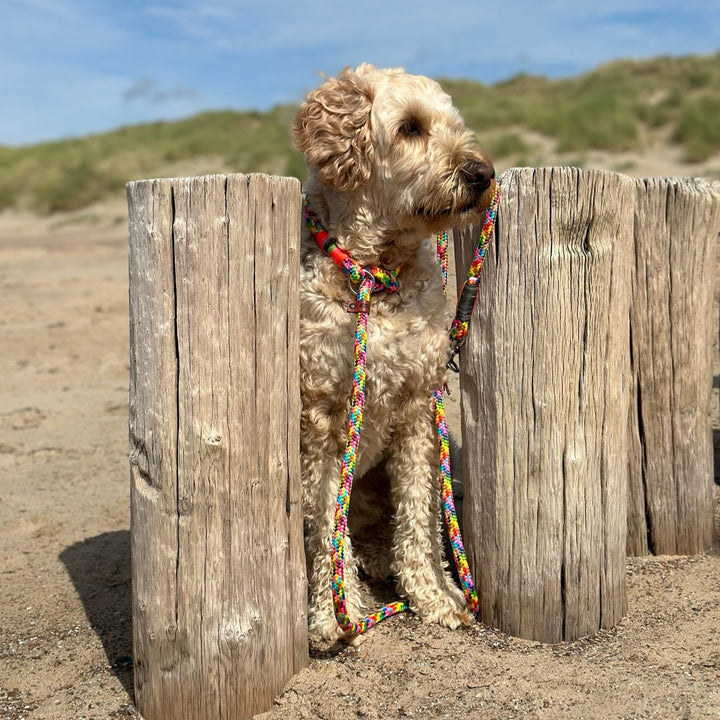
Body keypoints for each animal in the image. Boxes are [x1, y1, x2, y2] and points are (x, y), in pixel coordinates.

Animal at [292, 64, 496, 644]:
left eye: (454, 124)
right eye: (410, 128)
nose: (482, 173)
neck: (378, 277)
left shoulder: (417, 409)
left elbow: (420, 517)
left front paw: (435, 595)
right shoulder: (320, 422)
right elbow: (325, 530)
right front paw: (331, 613)